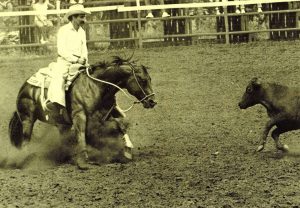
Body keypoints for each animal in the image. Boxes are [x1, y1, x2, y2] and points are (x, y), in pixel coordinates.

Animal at [8, 56, 156, 169]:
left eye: (150, 79)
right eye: (142, 80)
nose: (152, 101)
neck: (96, 87)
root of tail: (24, 87)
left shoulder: (107, 113)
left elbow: (121, 125)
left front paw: (127, 150)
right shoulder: (80, 116)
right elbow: (83, 134)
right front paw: (83, 162)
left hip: (62, 124)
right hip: (27, 119)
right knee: (25, 140)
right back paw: (25, 161)